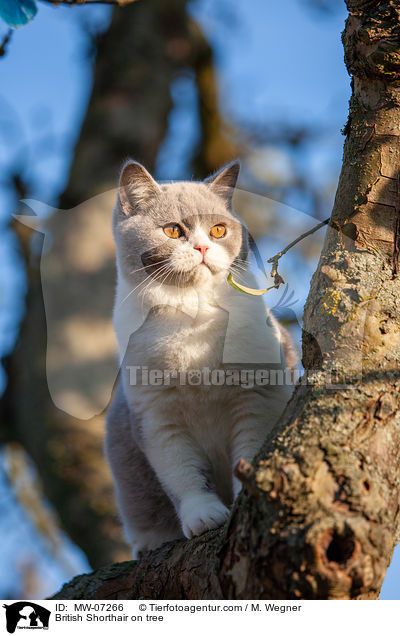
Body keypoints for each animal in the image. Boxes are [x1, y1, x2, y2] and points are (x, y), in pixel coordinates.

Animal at [104, 159, 296, 556]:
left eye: (219, 229)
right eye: (173, 231)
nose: (204, 247)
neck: (191, 316)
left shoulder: (258, 396)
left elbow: (250, 451)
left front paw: (242, 501)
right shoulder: (155, 416)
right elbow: (181, 474)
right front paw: (203, 516)